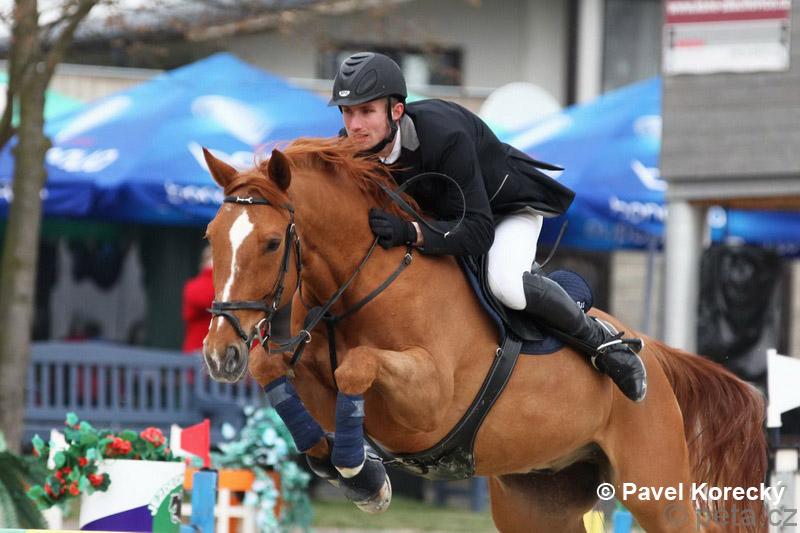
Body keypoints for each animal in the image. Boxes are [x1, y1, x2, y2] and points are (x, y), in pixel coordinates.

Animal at [200, 138, 767, 532]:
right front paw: (339, 462)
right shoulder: (307, 357)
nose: (219, 356)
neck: (362, 284)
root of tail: (661, 358)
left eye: (272, 243)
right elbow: (277, 368)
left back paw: (624, 364)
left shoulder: (429, 401)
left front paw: (364, 476)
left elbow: (357, 365)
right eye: (210, 237)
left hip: (655, 486)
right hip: (537, 498)